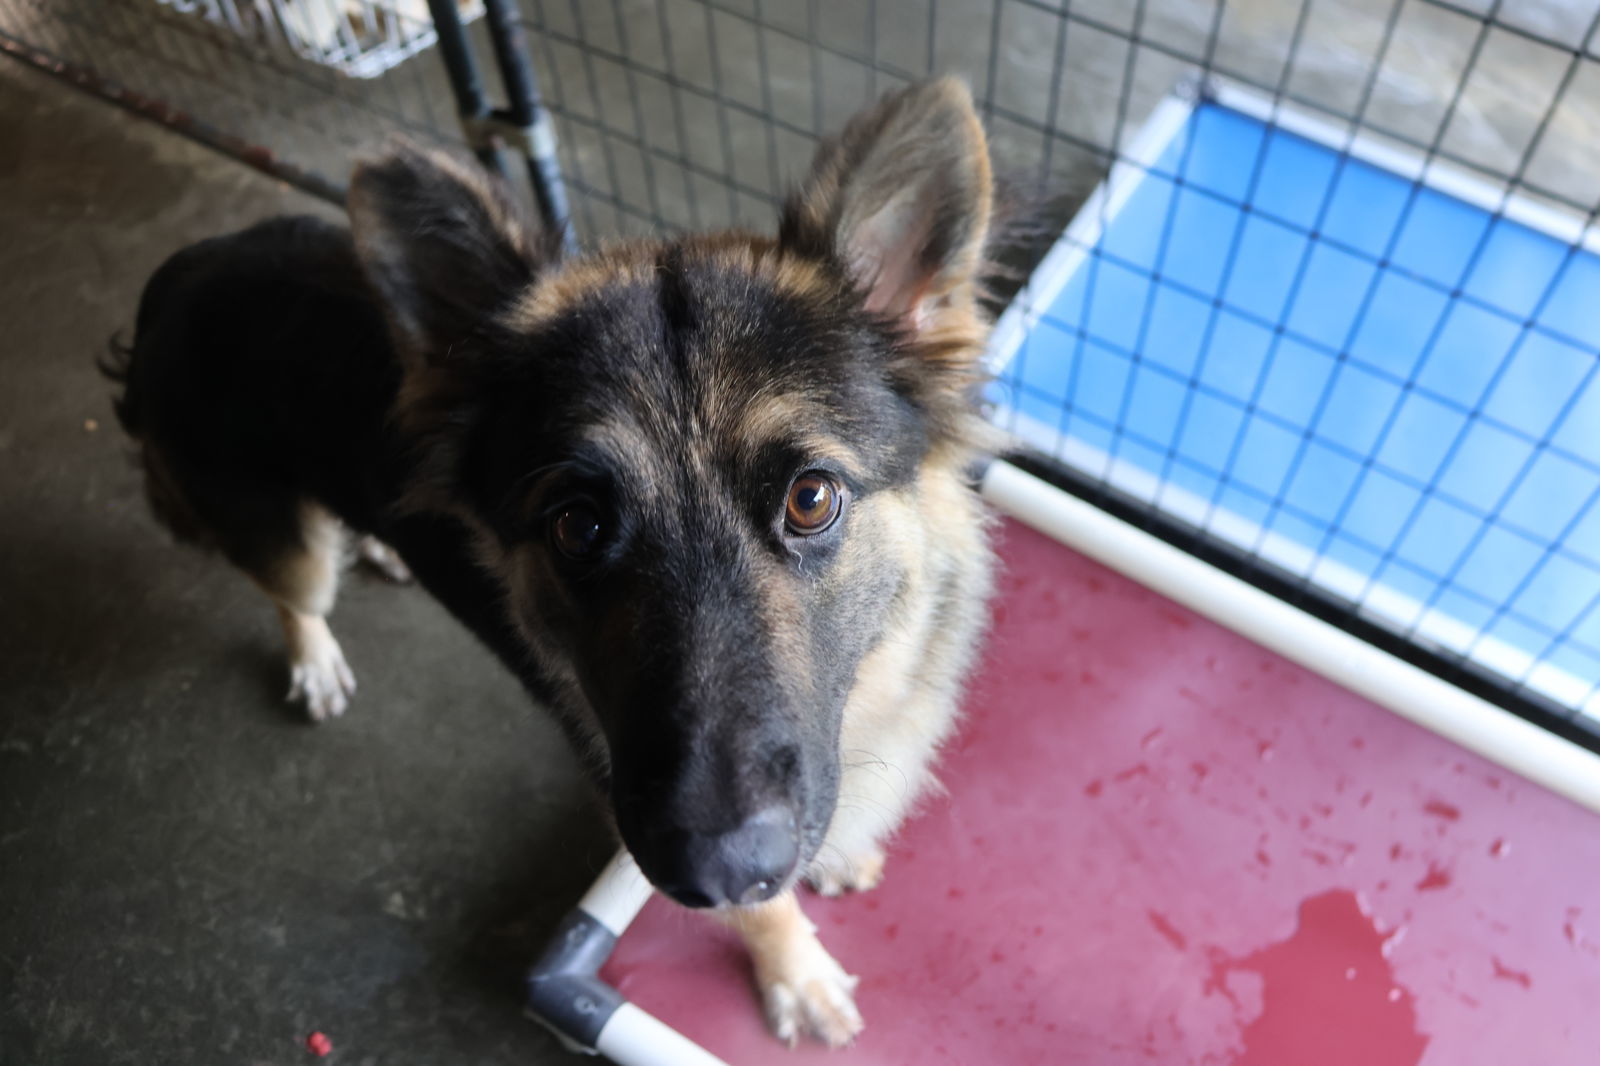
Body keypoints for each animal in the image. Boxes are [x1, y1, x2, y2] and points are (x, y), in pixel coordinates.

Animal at [103, 78, 998, 1043]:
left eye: (810, 499)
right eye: (578, 525)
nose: (713, 870)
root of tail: (184, 268)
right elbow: (766, 913)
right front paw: (792, 970)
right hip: (281, 541)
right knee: (293, 591)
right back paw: (314, 655)